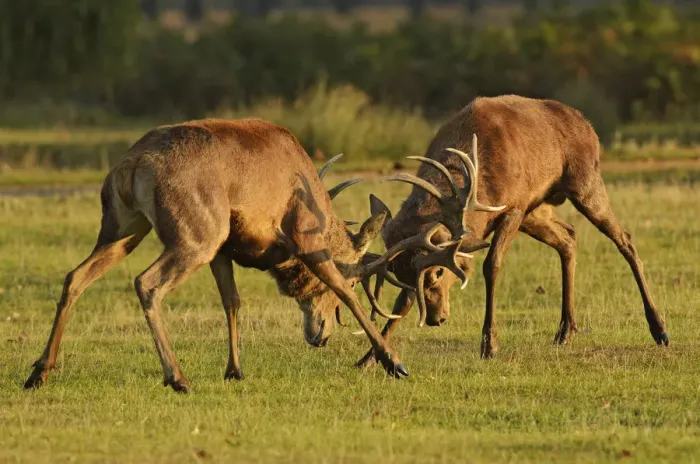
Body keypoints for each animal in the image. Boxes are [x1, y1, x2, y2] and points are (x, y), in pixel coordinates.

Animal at [24, 118, 481, 393]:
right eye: (357, 275)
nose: (319, 336)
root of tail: (133, 165)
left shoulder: (225, 247)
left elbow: (232, 300)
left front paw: (234, 369)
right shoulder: (301, 231)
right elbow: (343, 292)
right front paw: (394, 362)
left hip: (123, 226)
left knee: (75, 276)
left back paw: (40, 370)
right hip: (196, 231)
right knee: (146, 283)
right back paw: (177, 376)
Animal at [357, 95, 670, 366]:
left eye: (437, 273)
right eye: (402, 278)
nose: (436, 319)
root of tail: (587, 124)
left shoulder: (514, 207)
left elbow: (491, 265)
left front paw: (489, 345)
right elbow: (402, 303)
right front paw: (373, 357)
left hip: (585, 183)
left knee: (625, 239)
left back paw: (659, 329)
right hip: (537, 209)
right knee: (568, 236)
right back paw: (566, 330)